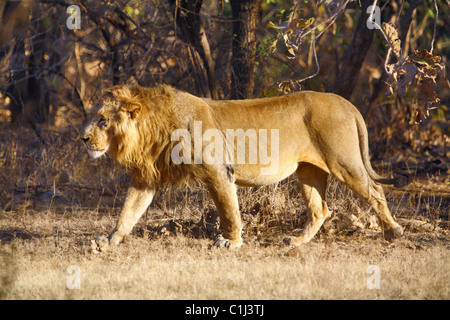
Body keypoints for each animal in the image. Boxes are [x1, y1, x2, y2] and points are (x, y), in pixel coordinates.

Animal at [82, 84, 410, 252]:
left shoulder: (218, 172)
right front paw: (109, 241)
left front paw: (231, 242)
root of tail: (346, 103)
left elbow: (229, 211)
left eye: (102, 121)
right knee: (320, 210)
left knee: (375, 190)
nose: (83, 138)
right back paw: (295, 241)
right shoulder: (147, 179)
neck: (153, 130)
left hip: (344, 163)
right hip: (308, 171)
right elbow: (129, 211)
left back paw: (394, 232)